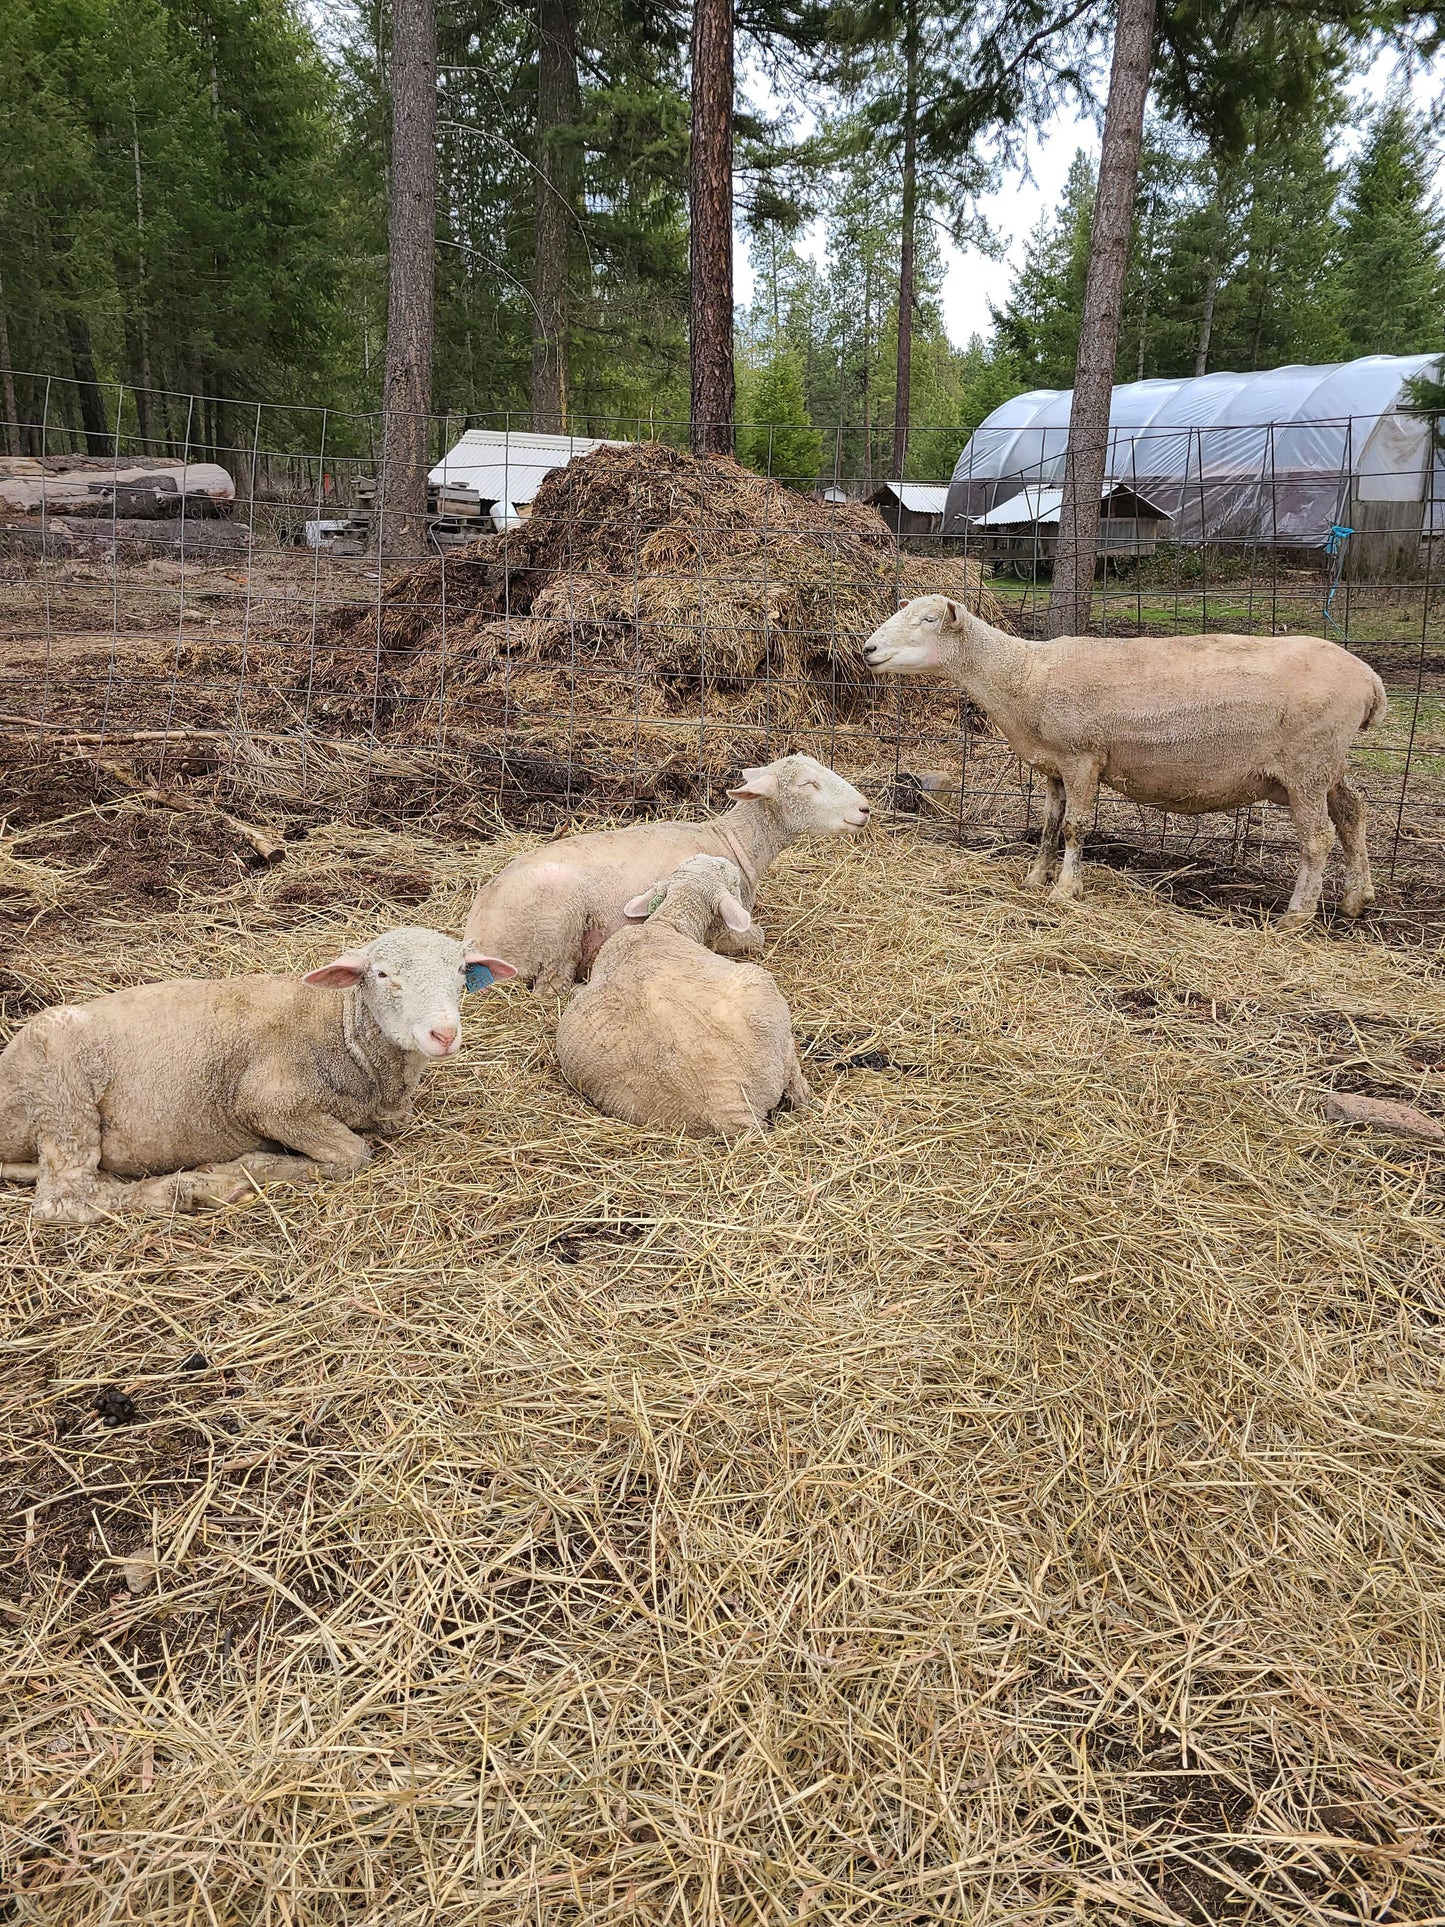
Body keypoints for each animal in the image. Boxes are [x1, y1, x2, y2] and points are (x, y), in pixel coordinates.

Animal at [0, 926, 516, 1225]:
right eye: (383, 974)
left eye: (461, 971)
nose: (443, 1034)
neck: (344, 1031)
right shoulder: (269, 1102)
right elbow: (352, 1154)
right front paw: (252, 1166)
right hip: (60, 1094)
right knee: (63, 1199)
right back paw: (187, 1190)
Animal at [462, 753, 871, 995]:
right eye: (807, 784)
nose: (865, 809)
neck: (734, 842)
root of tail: (473, 936)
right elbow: (755, 937)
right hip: (556, 927)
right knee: (552, 984)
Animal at [863, 594, 1387, 928]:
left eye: (930, 620)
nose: (868, 648)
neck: (1022, 675)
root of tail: (1370, 680)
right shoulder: (1055, 765)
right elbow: (1049, 824)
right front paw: (1034, 878)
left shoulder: (1082, 756)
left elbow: (1074, 827)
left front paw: (1065, 890)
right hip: (1326, 764)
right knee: (1353, 812)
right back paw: (1355, 899)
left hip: (1307, 764)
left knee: (1318, 837)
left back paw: (1296, 916)